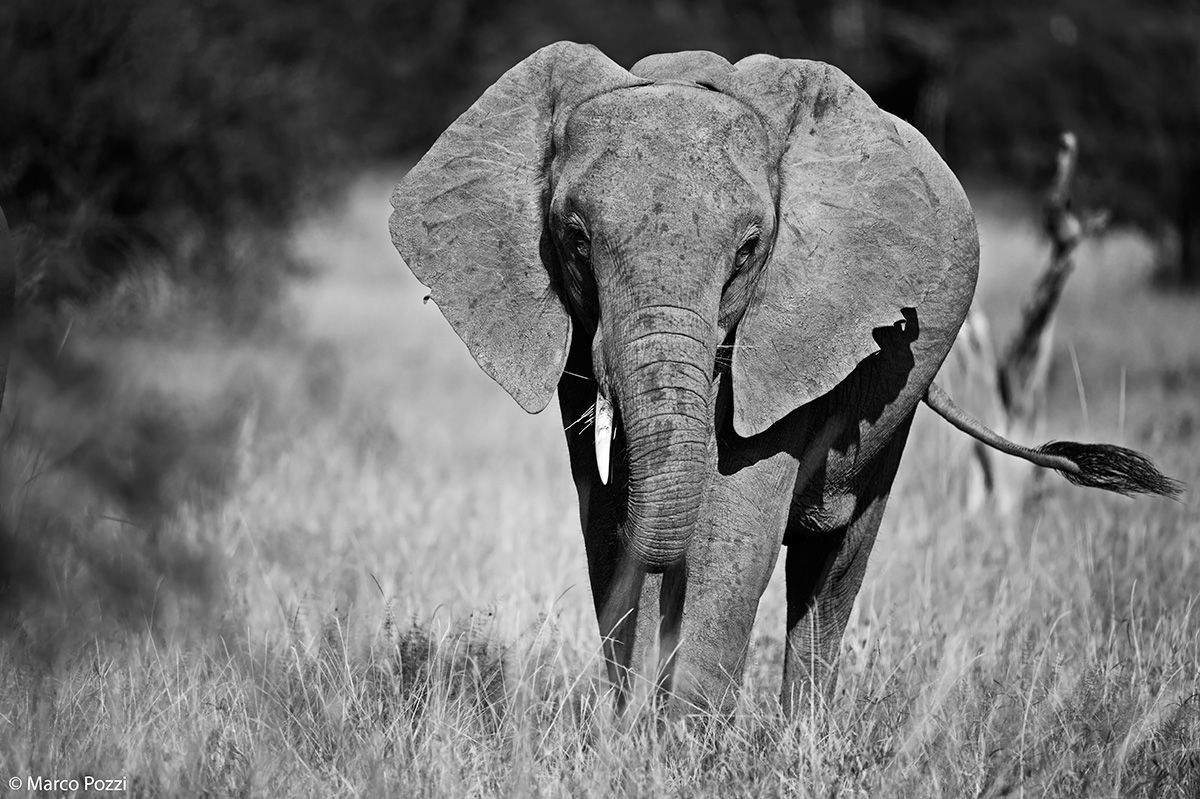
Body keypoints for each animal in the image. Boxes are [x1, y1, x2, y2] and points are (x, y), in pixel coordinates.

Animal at [389, 43, 1181, 716]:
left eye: (748, 249)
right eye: (576, 240)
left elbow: (729, 527)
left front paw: (680, 747)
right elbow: (609, 520)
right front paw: (630, 733)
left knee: (838, 558)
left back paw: (806, 735)